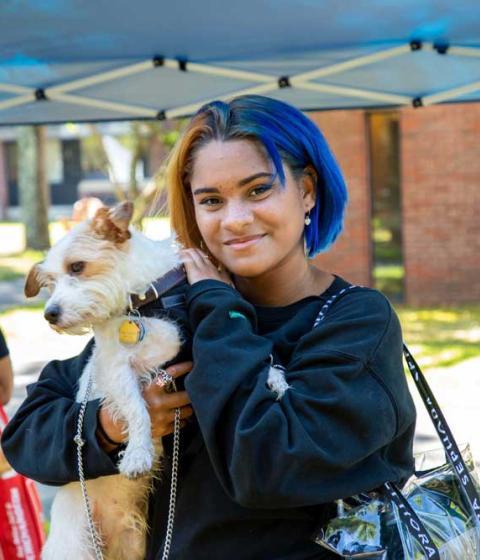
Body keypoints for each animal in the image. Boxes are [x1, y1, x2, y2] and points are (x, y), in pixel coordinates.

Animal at [25, 201, 185, 560]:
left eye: (77, 267)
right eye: (49, 283)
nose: (49, 314)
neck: (141, 304)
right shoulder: (115, 368)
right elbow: (138, 408)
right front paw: (139, 452)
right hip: (75, 548)